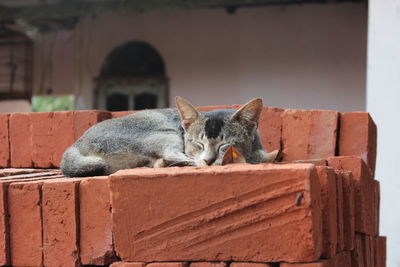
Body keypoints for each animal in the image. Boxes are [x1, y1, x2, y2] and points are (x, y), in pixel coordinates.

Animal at [61, 97, 274, 178]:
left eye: (224, 145)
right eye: (198, 144)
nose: (208, 160)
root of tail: (77, 144)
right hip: (165, 133)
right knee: (172, 156)